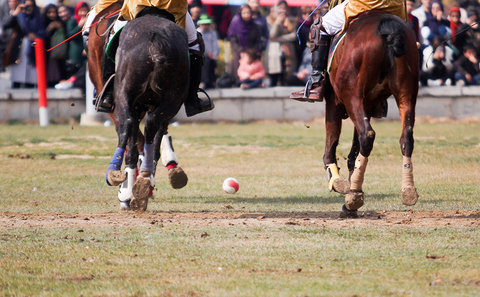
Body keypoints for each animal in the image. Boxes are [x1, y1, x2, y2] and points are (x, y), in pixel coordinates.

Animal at [322, 11, 420, 215]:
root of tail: (389, 31)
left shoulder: (335, 99)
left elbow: (332, 139)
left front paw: (336, 180)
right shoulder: (366, 104)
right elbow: (353, 150)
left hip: (351, 92)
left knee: (366, 134)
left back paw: (353, 198)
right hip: (407, 91)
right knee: (406, 137)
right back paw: (408, 191)